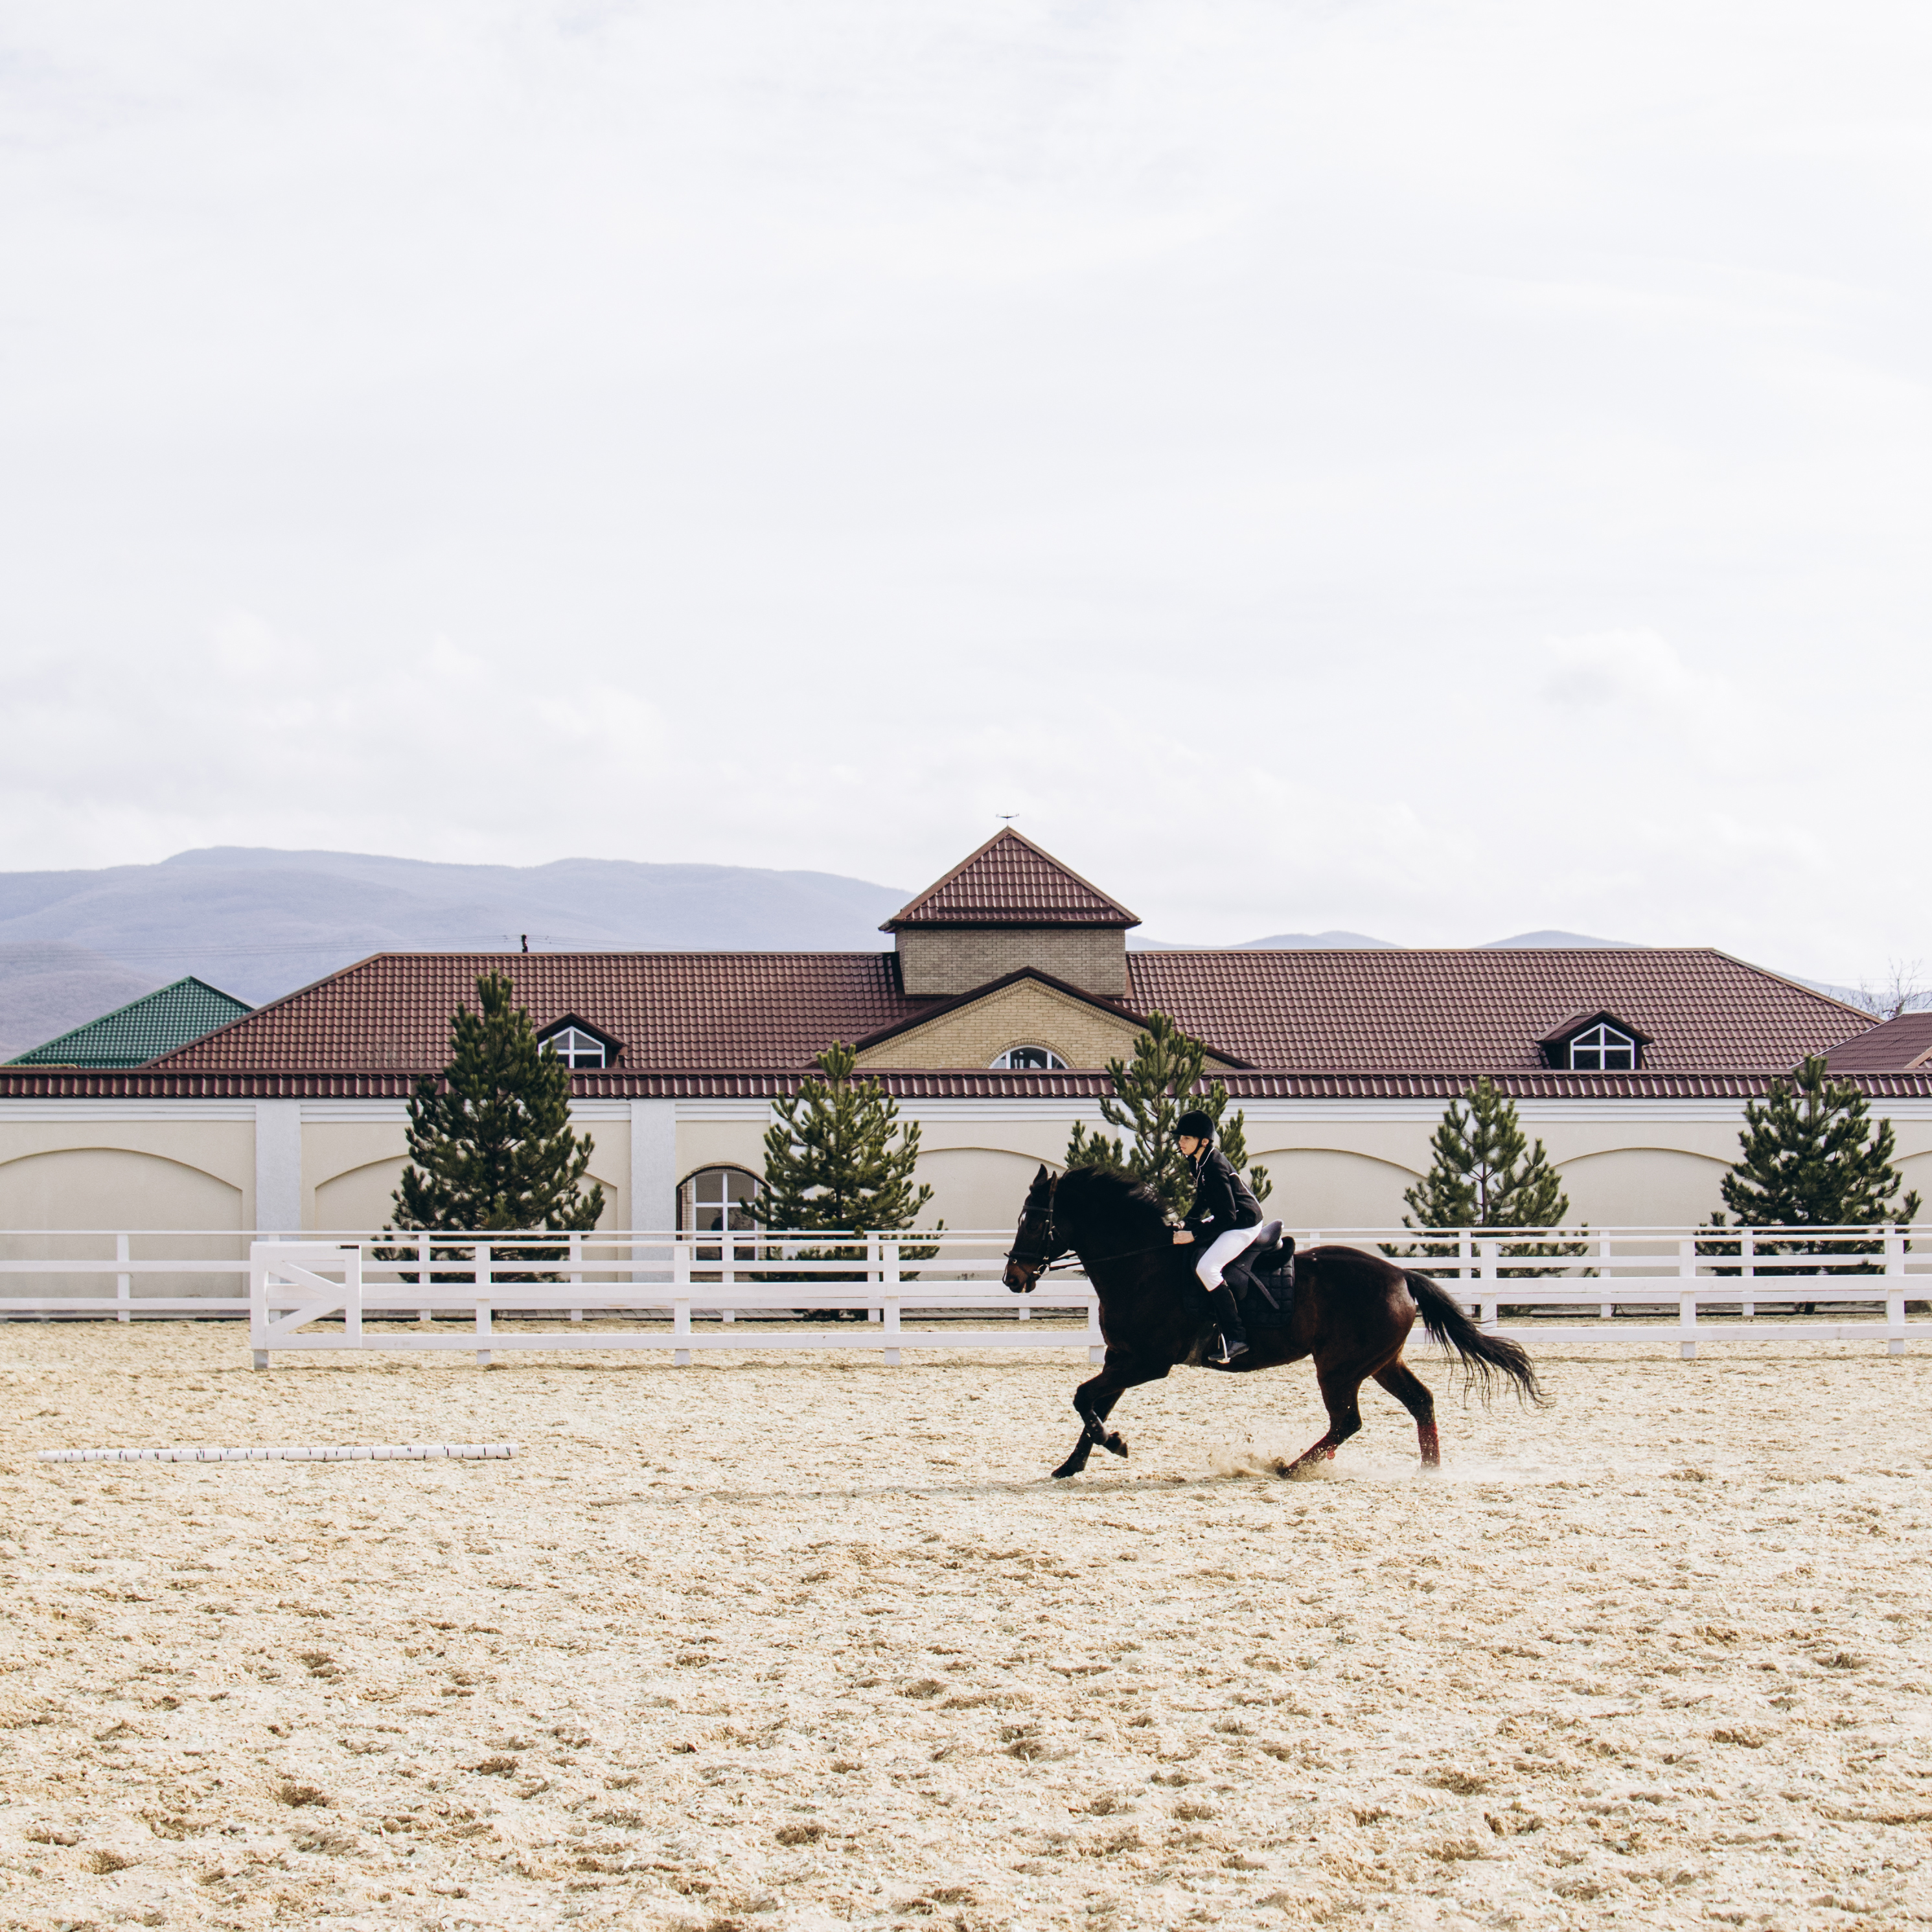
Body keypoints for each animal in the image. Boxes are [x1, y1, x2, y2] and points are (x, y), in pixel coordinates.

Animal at [1004, 1159, 1545, 1476]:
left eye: (1034, 1221)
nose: (1013, 1278)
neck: (1141, 1263)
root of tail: (1400, 1276)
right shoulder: (1121, 1358)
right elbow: (1093, 1404)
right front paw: (1073, 1464)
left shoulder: (1148, 1363)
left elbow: (1084, 1399)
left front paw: (1115, 1445)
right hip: (1380, 1363)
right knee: (1420, 1403)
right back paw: (1429, 1471)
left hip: (1339, 1367)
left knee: (1348, 1421)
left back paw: (1290, 1468)